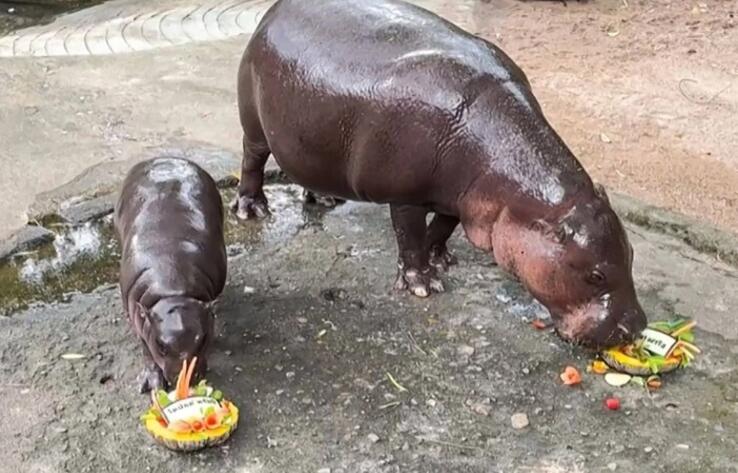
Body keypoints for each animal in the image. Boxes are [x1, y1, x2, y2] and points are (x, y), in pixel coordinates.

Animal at [113, 157, 224, 392]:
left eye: (202, 340)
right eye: (161, 346)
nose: (186, 381)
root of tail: (164, 157)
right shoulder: (140, 318)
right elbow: (145, 349)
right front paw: (151, 384)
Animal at [233, 0, 648, 346]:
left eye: (631, 255)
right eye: (595, 275)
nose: (636, 328)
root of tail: (275, 10)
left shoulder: (461, 196)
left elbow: (443, 226)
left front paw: (442, 259)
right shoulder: (405, 196)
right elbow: (410, 236)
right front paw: (424, 284)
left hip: (307, 138)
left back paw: (323, 198)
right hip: (254, 124)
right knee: (252, 161)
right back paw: (252, 210)